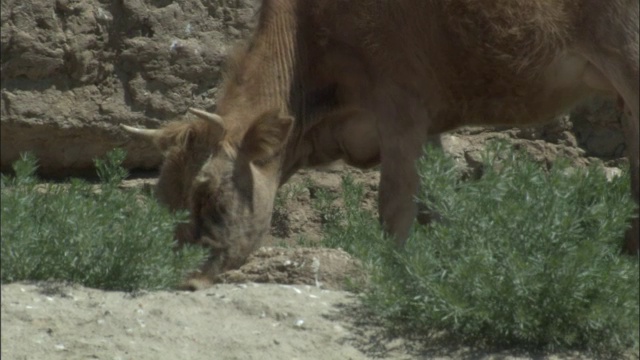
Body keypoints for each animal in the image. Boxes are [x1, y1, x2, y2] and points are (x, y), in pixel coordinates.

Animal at [122, 0, 636, 288]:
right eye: (162, 197)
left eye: (210, 193)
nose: (184, 280)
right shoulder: (428, 127)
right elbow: (436, 204)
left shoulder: (402, 109)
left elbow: (394, 208)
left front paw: (396, 276)